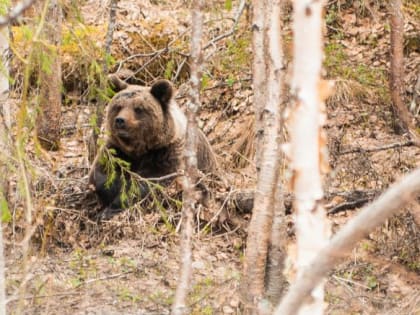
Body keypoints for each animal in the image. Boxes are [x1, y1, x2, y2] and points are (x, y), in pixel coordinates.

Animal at [90, 74, 218, 218]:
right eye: (118, 106)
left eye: (138, 108)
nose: (120, 120)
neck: (139, 149)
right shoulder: (117, 150)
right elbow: (102, 173)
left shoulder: (166, 153)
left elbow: (149, 182)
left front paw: (112, 207)